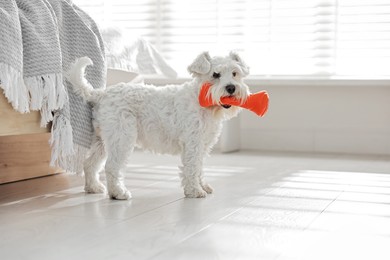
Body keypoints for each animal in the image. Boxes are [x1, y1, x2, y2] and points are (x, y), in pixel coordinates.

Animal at [68, 51, 250, 200]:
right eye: (215, 74)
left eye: (235, 73)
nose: (231, 88)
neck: (202, 101)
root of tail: (100, 94)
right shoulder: (193, 143)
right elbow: (192, 167)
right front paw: (195, 191)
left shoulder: (203, 145)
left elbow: (199, 167)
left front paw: (203, 186)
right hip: (122, 138)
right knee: (111, 166)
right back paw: (118, 193)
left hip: (103, 140)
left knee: (90, 163)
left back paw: (93, 187)